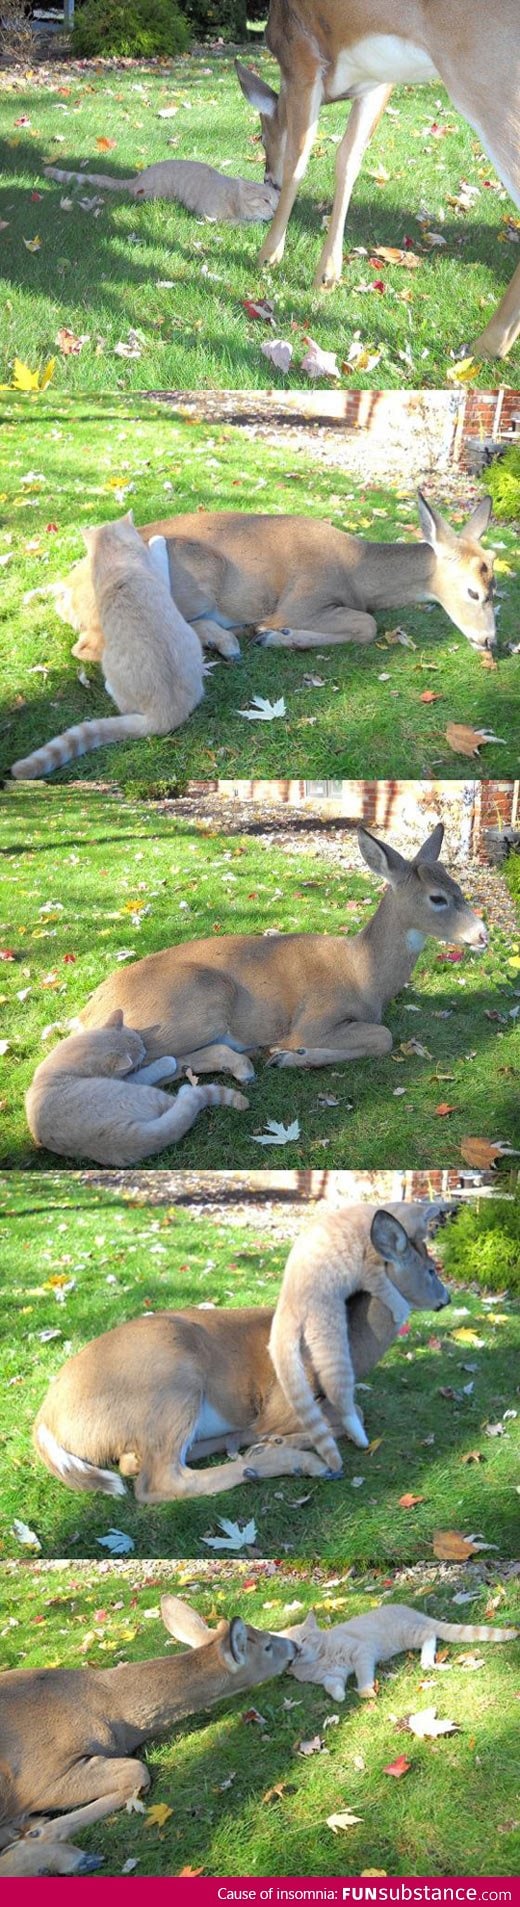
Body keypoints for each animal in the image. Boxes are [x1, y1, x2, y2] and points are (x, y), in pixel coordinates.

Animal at [0, 1594, 295, 1876]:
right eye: (267, 1646)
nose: (295, 1646)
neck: (112, 1712)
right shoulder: (41, 1778)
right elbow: (138, 1770)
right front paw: (40, 1834)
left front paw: (34, 1831)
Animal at [34, 1205, 451, 1502]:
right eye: (432, 1269)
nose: (447, 1298)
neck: (354, 1342)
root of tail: (45, 1419)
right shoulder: (281, 1401)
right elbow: (354, 1413)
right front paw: (288, 1443)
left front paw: (276, 1441)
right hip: (172, 1376)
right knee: (159, 1480)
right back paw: (296, 1461)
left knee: (137, 1462)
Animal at [45, 488, 495, 667]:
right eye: (473, 592)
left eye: (497, 589)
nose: (490, 641)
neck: (356, 570)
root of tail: (64, 591)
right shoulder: (302, 600)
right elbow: (366, 624)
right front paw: (277, 636)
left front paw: (266, 635)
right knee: (91, 646)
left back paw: (228, 641)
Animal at [75, 823, 485, 1106]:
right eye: (437, 898)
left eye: (460, 889)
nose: (483, 934)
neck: (363, 974)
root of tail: (86, 1013)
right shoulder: (313, 1019)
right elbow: (382, 1037)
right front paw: (291, 1056)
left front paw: (286, 1057)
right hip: (196, 1002)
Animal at [234, 0, 518, 358]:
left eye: (261, 136)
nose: (268, 178)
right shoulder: (378, 81)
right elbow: (348, 160)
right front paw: (328, 275)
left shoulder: (302, 54)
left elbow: (299, 160)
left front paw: (269, 255)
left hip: (487, 77)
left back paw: (487, 343)